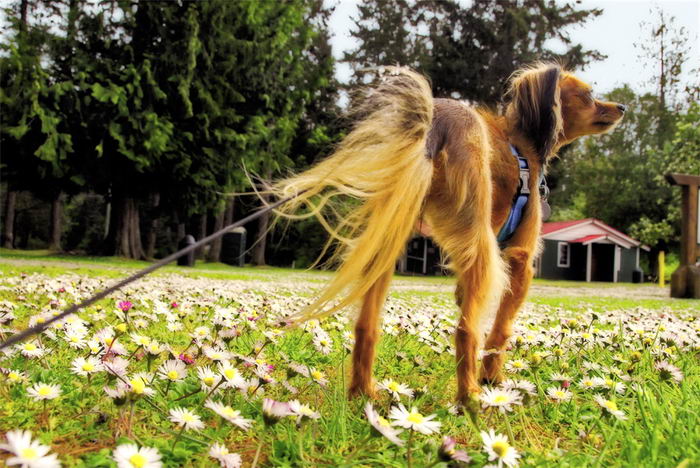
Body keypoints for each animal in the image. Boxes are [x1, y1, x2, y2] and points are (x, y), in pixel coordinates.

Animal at [272, 63, 624, 406]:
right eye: (588, 95)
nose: (621, 106)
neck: (522, 143)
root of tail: (437, 121)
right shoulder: (521, 260)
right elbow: (501, 329)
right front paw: (493, 377)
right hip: (479, 244)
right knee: (467, 330)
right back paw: (470, 395)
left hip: (390, 236)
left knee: (366, 324)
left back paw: (363, 392)